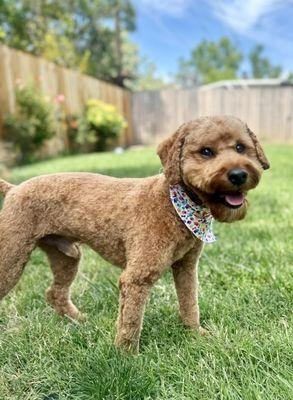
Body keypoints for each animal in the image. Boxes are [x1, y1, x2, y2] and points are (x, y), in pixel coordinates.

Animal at [0, 116, 268, 354]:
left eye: (241, 147)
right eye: (206, 152)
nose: (238, 174)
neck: (174, 205)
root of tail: (14, 189)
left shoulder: (186, 266)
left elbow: (189, 302)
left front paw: (195, 333)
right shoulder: (137, 278)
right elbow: (130, 321)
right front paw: (126, 357)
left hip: (66, 256)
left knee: (54, 293)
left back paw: (79, 320)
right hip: (11, 256)